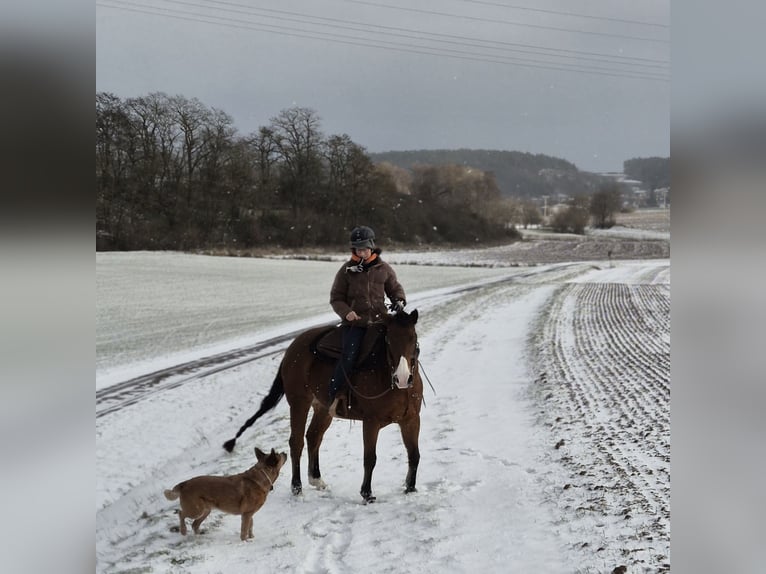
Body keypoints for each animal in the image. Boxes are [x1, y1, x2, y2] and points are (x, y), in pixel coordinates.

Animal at [223, 309, 422, 503]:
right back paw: (297, 488)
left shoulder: (411, 420)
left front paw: (410, 488)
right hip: (299, 403)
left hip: (323, 408)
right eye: (389, 340)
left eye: (413, 338)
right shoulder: (371, 422)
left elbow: (414, 454)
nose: (402, 377)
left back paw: (316, 480)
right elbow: (370, 458)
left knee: (313, 436)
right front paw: (367, 493)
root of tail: (292, 348)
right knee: (296, 442)